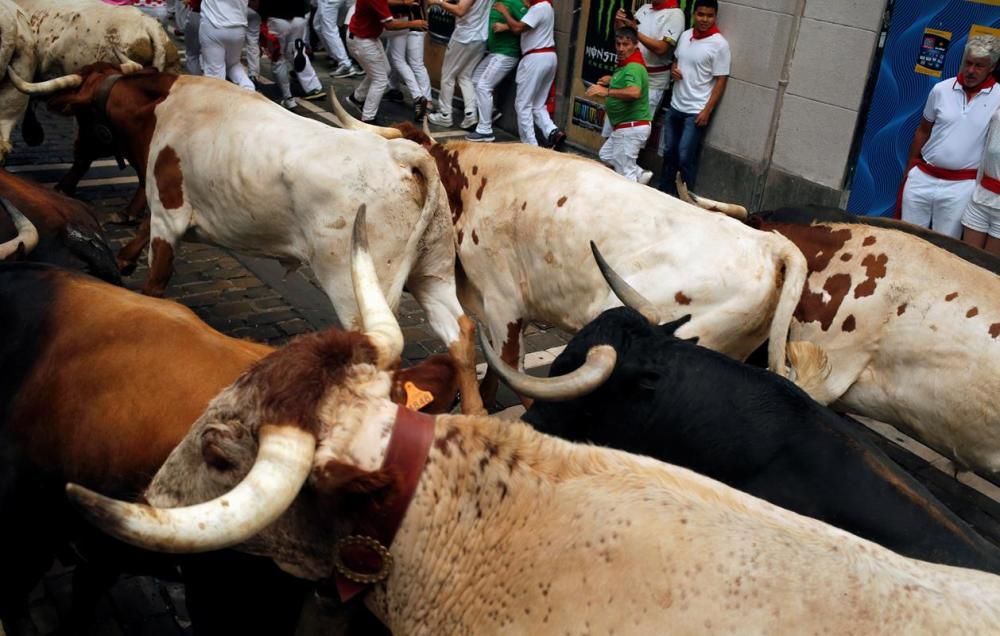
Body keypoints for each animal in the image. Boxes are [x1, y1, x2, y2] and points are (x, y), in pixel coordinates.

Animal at [12, 63, 484, 412]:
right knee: (460, 332)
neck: (166, 107)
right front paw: (124, 256)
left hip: (357, 286)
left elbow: (156, 276)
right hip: (433, 272)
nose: (70, 175)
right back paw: (475, 412)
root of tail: (404, 152)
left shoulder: (169, 214)